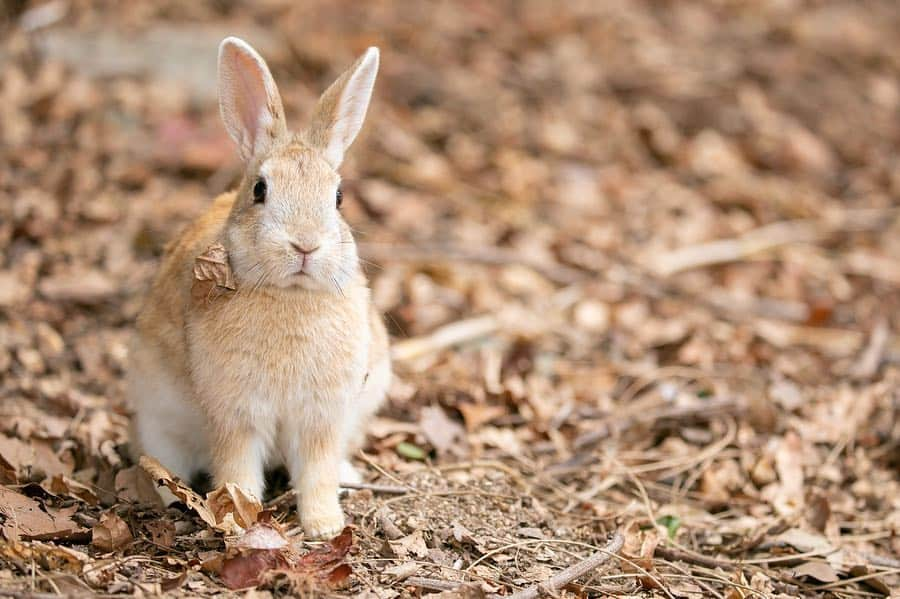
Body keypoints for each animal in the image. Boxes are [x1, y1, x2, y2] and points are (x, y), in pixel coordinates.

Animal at [126, 38, 390, 544]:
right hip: (157, 416)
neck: (289, 295)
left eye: (339, 198)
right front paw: (238, 521)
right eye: (260, 190)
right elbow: (237, 470)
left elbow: (317, 473)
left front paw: (325, 526)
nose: (305, 245)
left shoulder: (321, 419)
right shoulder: (235, 415)